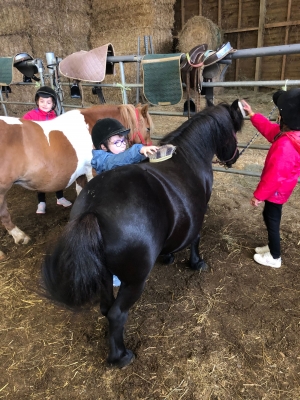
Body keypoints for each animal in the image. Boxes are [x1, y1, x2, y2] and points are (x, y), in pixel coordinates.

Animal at [42, 101, 244, 368]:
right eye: (233, 133)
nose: (234, 156)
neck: (188, 156)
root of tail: (93, 210)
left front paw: (168, 255)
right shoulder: (202, 209)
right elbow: (196, 238)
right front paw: (196, 262)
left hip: (105, 274)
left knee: (106, 307)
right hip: (135, 281)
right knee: (117, 314)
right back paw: (121, 356)